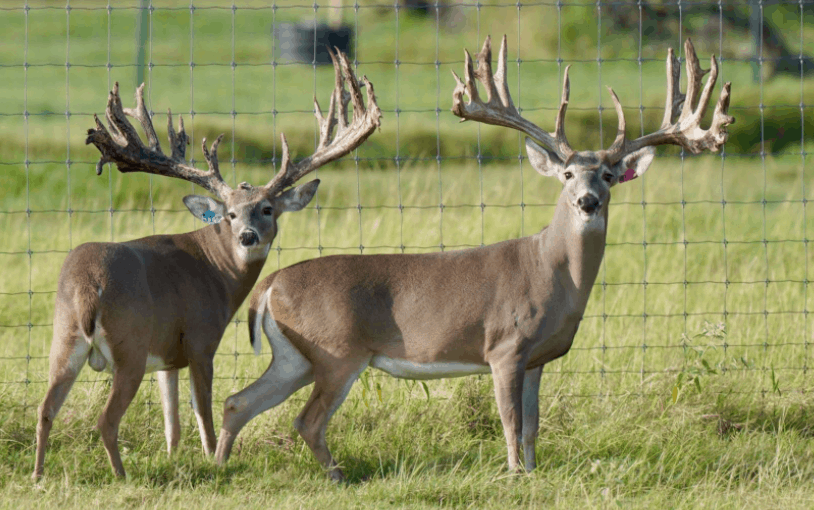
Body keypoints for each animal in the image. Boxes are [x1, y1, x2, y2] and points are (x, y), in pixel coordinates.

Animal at [32, 49, 381, 480]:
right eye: (230, 214)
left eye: (267, 209)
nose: (248, 236)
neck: (216, 273)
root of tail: (86, 285)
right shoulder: (201, 339)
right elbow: (203, 413)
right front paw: (214, 459)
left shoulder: (166, 357)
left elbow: (172, 420)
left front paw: (172, 458)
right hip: (128, 345)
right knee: (106, 419)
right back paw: (120, 475)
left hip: (63, 338)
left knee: (45, 409)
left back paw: (38, 476)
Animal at [213, 36, 734, 481]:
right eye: (567, 174)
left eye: (607, 175)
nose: (587, 202)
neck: (553, 274)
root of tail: (270, 285)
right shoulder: (505, 345)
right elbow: (509, 421)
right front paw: (513, 474)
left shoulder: (537, 358)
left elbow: (533, 424)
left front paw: (533, 471)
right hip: (337, 351)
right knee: (307, 419)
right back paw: (337, 476)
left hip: (295, 357)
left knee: (238, 401)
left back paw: (220, 465)